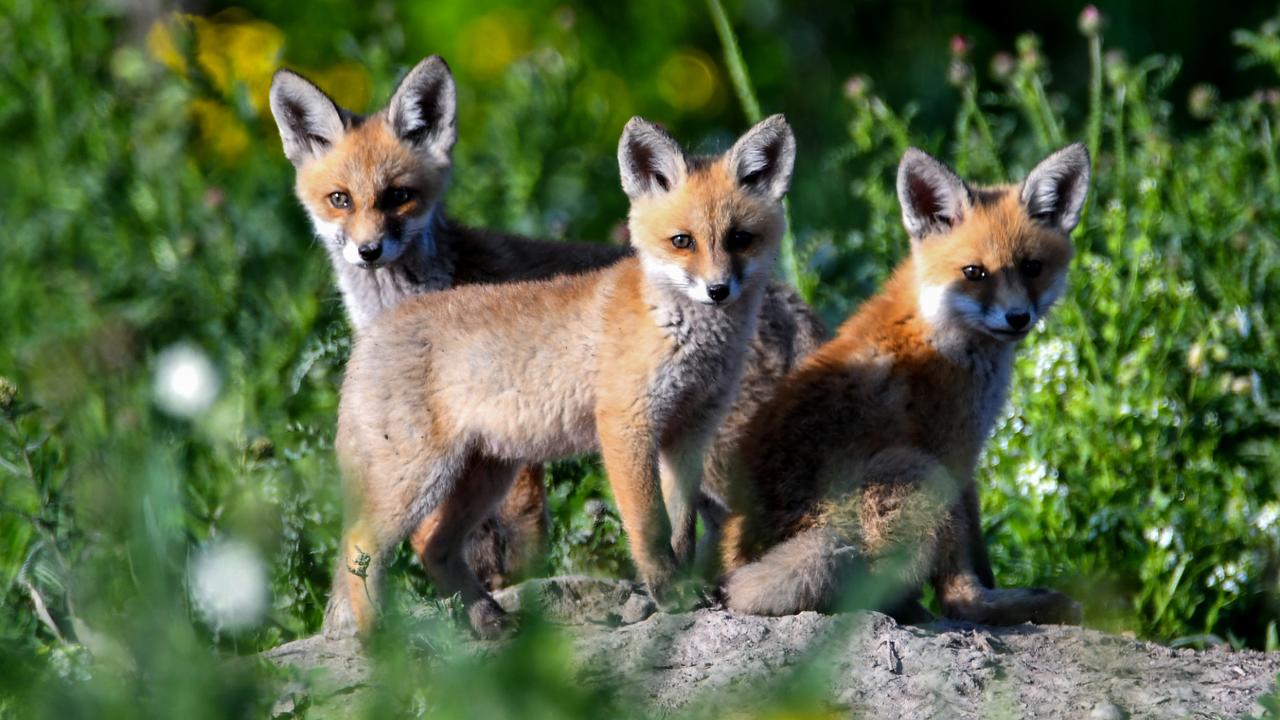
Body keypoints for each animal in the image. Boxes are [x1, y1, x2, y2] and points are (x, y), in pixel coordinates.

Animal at [328, 114, 798, 638]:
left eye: (739, 239)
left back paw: (488, 621)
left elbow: (681, 528)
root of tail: (368, 335)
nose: (718, 290)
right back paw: (384, 645)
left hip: (486, 475)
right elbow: (651, 526)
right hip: (418, 476)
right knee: (361, 548)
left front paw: (684, 587)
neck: (681, 333)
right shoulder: (626, 426)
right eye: (683, 241)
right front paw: (669, 593)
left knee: (433, 547)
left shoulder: (690, 432)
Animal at [719, 144, 1091, 626]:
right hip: (916, 471)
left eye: (1032, 268)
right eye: (974, 272)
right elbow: (970, 573)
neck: (938, 323)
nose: (1017, 318)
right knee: (951, 597)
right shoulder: (953, 452)